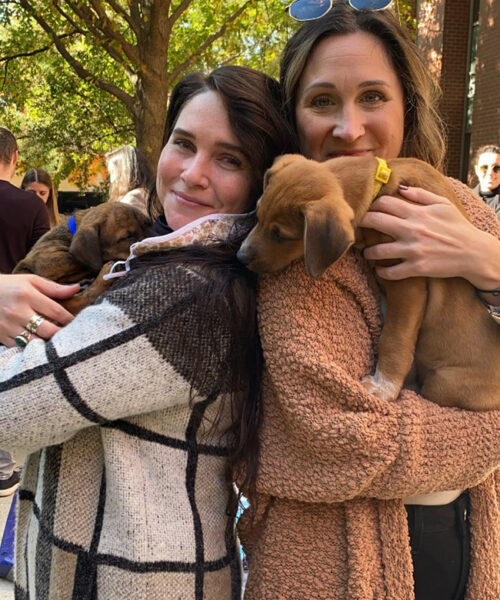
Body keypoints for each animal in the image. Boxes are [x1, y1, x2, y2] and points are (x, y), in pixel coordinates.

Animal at [14, 202, 151, 314]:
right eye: (127, 237)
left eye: (148, 225)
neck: (72, 231)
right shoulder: (48, 258)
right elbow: (80, 262)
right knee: (78, 301)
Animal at [238, 152, 500, 410]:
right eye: (258, 216)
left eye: (281, 235)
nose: (240, 257)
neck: (381, 184)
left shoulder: (407, 280)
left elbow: (393, 338)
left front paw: (383, 386)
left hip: (443, 382)